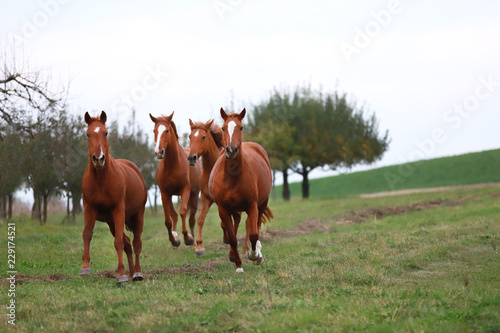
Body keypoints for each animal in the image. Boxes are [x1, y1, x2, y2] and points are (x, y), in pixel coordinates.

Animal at [81, 111, 147, 282]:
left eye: (105, 133)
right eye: (88, 134)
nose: (98, 159)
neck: (101, 179)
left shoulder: (118, 210)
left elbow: (118, 243)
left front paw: (121, 274)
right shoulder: (89, 209)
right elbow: (87, 234)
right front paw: (85, 267)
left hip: (138, 215)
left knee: (136, 243)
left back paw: (137, 273)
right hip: (111, 222)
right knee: (128, 243)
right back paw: (131, 273)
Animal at [149, 111, 200, 249]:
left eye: (166, 130)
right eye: (154, 130)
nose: (159, 152)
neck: (173, 165)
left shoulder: (185, 190)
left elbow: (183, 212)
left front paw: (188, 238)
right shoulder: (164, 193)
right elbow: (168, 219)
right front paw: (174, 240)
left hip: (194, 194)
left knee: (191, 218)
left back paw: (194, 242)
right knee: (175, 216)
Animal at [188, 118, 242, 256]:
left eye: (203, 137)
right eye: (190, 136)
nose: (191, 157)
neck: (211, 169)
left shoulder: (221, 202)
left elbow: (224, 222)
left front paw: (228, 239)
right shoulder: (205, 198)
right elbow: (200, 219)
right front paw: (199, 247)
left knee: (237, 217)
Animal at [209, 107, 276, 272]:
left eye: (241, 127)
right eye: (223, 128)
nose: (231, 150)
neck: (232, 176)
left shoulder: (252, 205)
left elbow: (253, 234)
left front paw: (254, 255)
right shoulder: (223, 209)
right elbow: (232, 238)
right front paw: (238, 266)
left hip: (262, 203)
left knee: (255, 225)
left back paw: (257, 253)